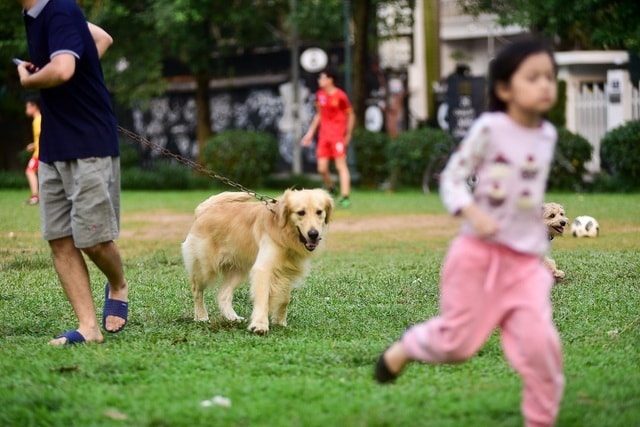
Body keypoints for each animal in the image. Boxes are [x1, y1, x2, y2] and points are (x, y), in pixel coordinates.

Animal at [179, 190, 332, 334]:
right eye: (301, 212)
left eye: (319, 212)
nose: (314, 234)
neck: (285, 234)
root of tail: (204, 209)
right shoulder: (263, 269)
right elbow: (263, 297)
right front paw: (260, 325)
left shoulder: (287, 271)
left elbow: (284, 299)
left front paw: (280, 322)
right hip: (205, 267)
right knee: (197, 290)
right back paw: (201, 316)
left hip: (238, 270)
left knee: (223, 295)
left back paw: (232, 317)